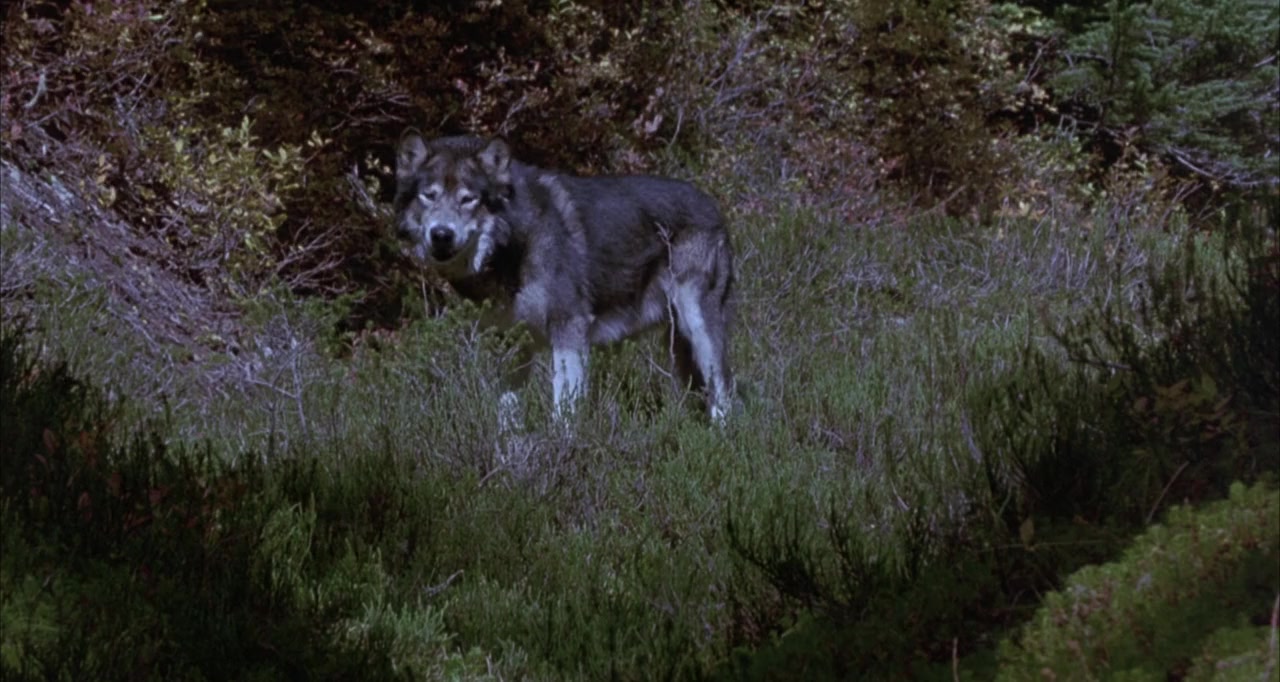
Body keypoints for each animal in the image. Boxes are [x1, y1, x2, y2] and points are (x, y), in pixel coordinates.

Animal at [393, 130, 734, 422]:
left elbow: (564, 412)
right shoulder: (511, 343)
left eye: (468, 199)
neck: (516, 245)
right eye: (428, 196)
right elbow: (508, 413)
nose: (441, 235)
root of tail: (713, 206)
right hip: (678, 345)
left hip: (697, 327)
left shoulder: (569, 329)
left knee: (726, 397)